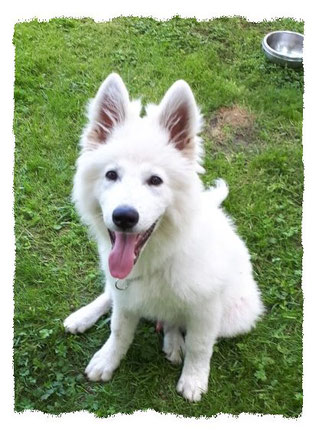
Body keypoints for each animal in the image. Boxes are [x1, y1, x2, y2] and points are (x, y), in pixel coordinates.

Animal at [63, 74, 262, 402]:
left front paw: (194, 379)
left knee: (175, 323)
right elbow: (118, 330)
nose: (124, 217)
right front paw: (107, 359)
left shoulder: (207, 308)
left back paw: (172, 342)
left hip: (237, 316)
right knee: (110, 293)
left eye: (155, 180)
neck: (161, 255)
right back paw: (83, 316)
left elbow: (200, 346)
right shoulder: (126, 295)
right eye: (111, 175)